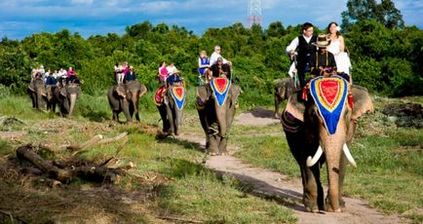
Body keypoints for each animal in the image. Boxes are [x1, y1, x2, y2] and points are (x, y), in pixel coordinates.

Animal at [282, 75, 374, 214]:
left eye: (347, 113)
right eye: (313, 115)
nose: (333, 208)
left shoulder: (350, 130)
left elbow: (342, 158)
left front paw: (339, 207)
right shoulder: (303, 128)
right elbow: (307, 157)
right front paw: (313, 208)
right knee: (301, 162)